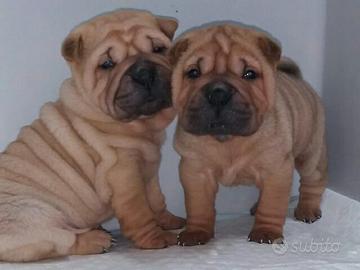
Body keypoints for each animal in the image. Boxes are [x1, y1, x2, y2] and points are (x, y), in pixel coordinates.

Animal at [0, 10, 186, 262]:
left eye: (158, 49)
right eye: (107, 64)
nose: (144, 72)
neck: (141, 126)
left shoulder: (149, 170)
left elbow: (156, 201)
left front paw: (171, 222)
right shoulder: (124, 174)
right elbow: (139, 211)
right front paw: (156, 239)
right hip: (33, 211)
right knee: (61, 239)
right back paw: (96, 239)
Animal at [170, 23, 328, 246]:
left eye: (249, 74)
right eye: (193, 72)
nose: (218, 93)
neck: (228, 140)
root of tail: (299, 80)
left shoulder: (275, 170)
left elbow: (272, 204)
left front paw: (266, 232)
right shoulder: (196, 172)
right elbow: (198, 206)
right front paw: (196, 232)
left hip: (311, 153)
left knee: (312, 182)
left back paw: (307, 209)